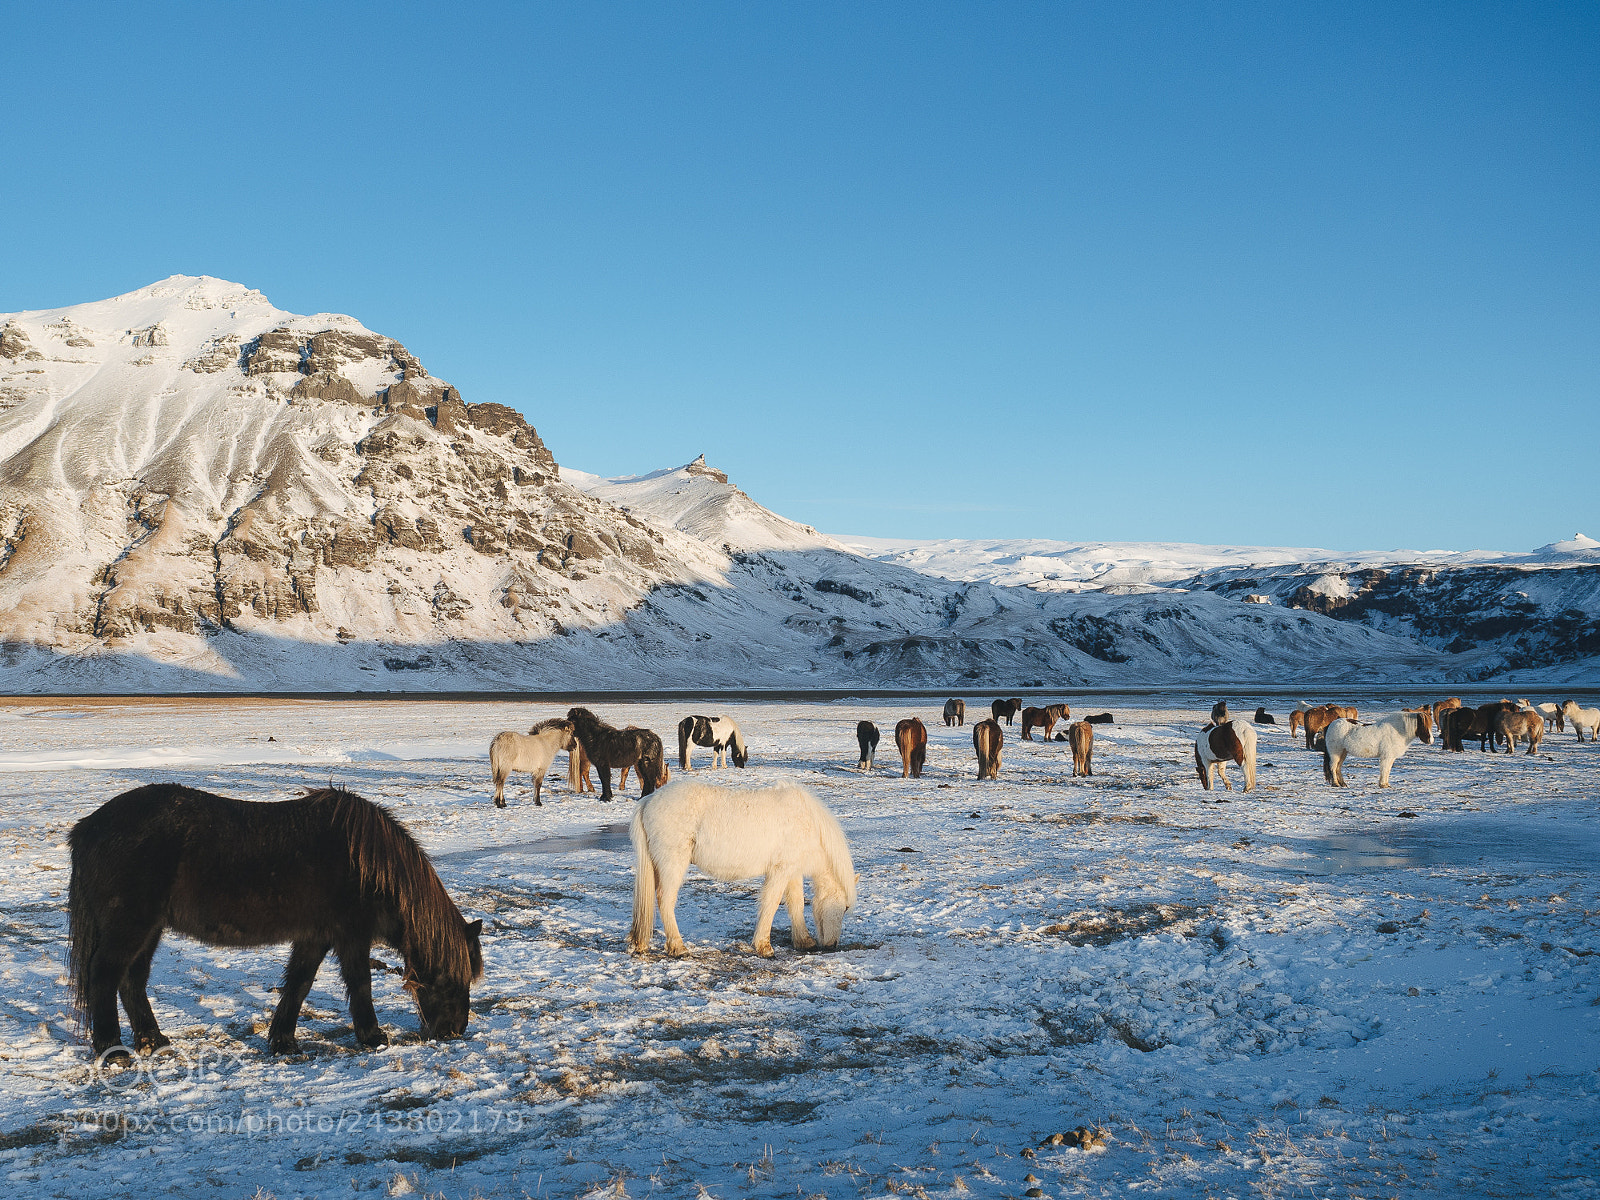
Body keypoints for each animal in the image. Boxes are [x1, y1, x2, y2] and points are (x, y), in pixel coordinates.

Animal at [69, 784, 482, 1060]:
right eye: (452, 979)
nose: (455, 1031)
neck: (367, 863)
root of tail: (87, 828)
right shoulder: (351, 936)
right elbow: (360, 983)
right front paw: (372, 1036)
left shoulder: (315, 937)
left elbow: (298, 984)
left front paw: (282, 1041)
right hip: (131, 927)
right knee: (105, 975)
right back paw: (113, 1049)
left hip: (149, 929)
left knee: (132, 982)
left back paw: (153, 1041)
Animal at [627, 780, 856, 958]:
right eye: (845, 907)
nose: (832, 945)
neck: (807, 820)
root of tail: (649, 800)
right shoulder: (780, 871)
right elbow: (771, 903)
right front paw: (764, 947)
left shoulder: (792, 871)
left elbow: (796, 904)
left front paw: (803, 940)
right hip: (672, 864)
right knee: (665, 899)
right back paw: (678, 947)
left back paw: (641, 944)